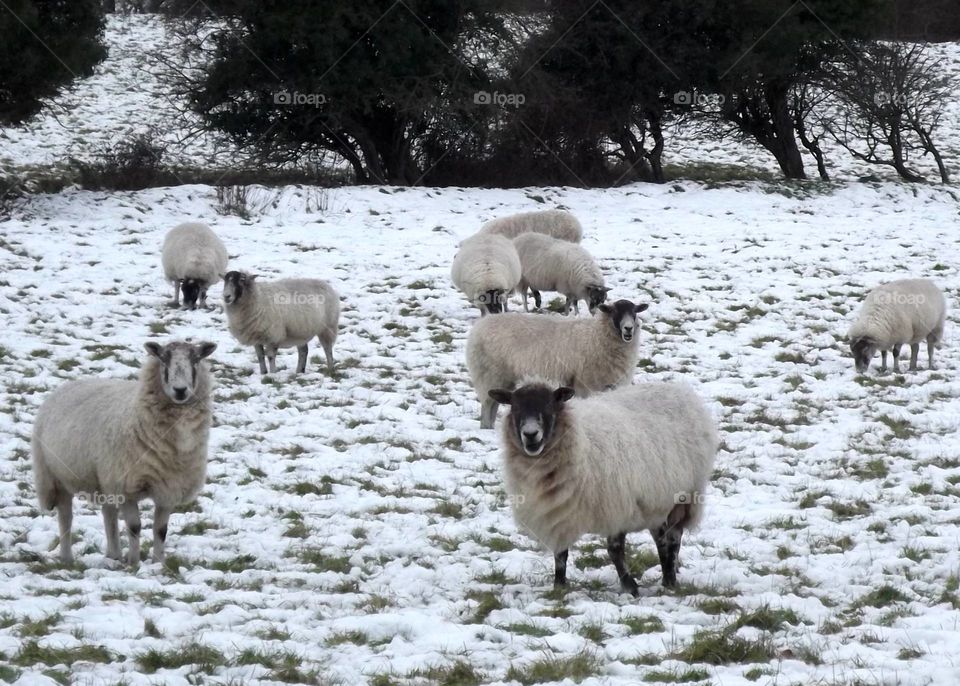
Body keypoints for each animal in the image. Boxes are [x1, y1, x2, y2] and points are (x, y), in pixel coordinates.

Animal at [31, 340, 217, 566]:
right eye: (163, 359)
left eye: (196, 360)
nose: (180, 390)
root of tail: (68, 385)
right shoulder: (127, 485)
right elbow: (134, 527)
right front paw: (134, 563)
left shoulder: (168, 487)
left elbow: (160, 530)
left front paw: (158, 564)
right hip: (56, 476)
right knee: (65, 517)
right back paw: (67, 558)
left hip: (103, 479)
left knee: (108, 515)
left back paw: (113, 554)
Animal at [466, 299, 648, 428]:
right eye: (615, 312)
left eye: (634, 312)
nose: (628, 329)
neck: (596, 334)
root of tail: (478, 327)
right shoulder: (586, 383)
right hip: (489, 373)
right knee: (487, 405)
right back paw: (486, 427)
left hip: (502, 378)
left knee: (494, 403)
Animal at [488, 381, 717, 595]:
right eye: (514, 408)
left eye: (550, 406)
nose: (530, 434)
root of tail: (679, 388)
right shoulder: (559, 512)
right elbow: (561, 553)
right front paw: (559, 586)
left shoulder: (617, 505)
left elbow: (614, 550)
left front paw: (630, 587)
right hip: (655, 499)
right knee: (661, 538)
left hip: (684, 495)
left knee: (673, 539)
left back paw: (670, 579)